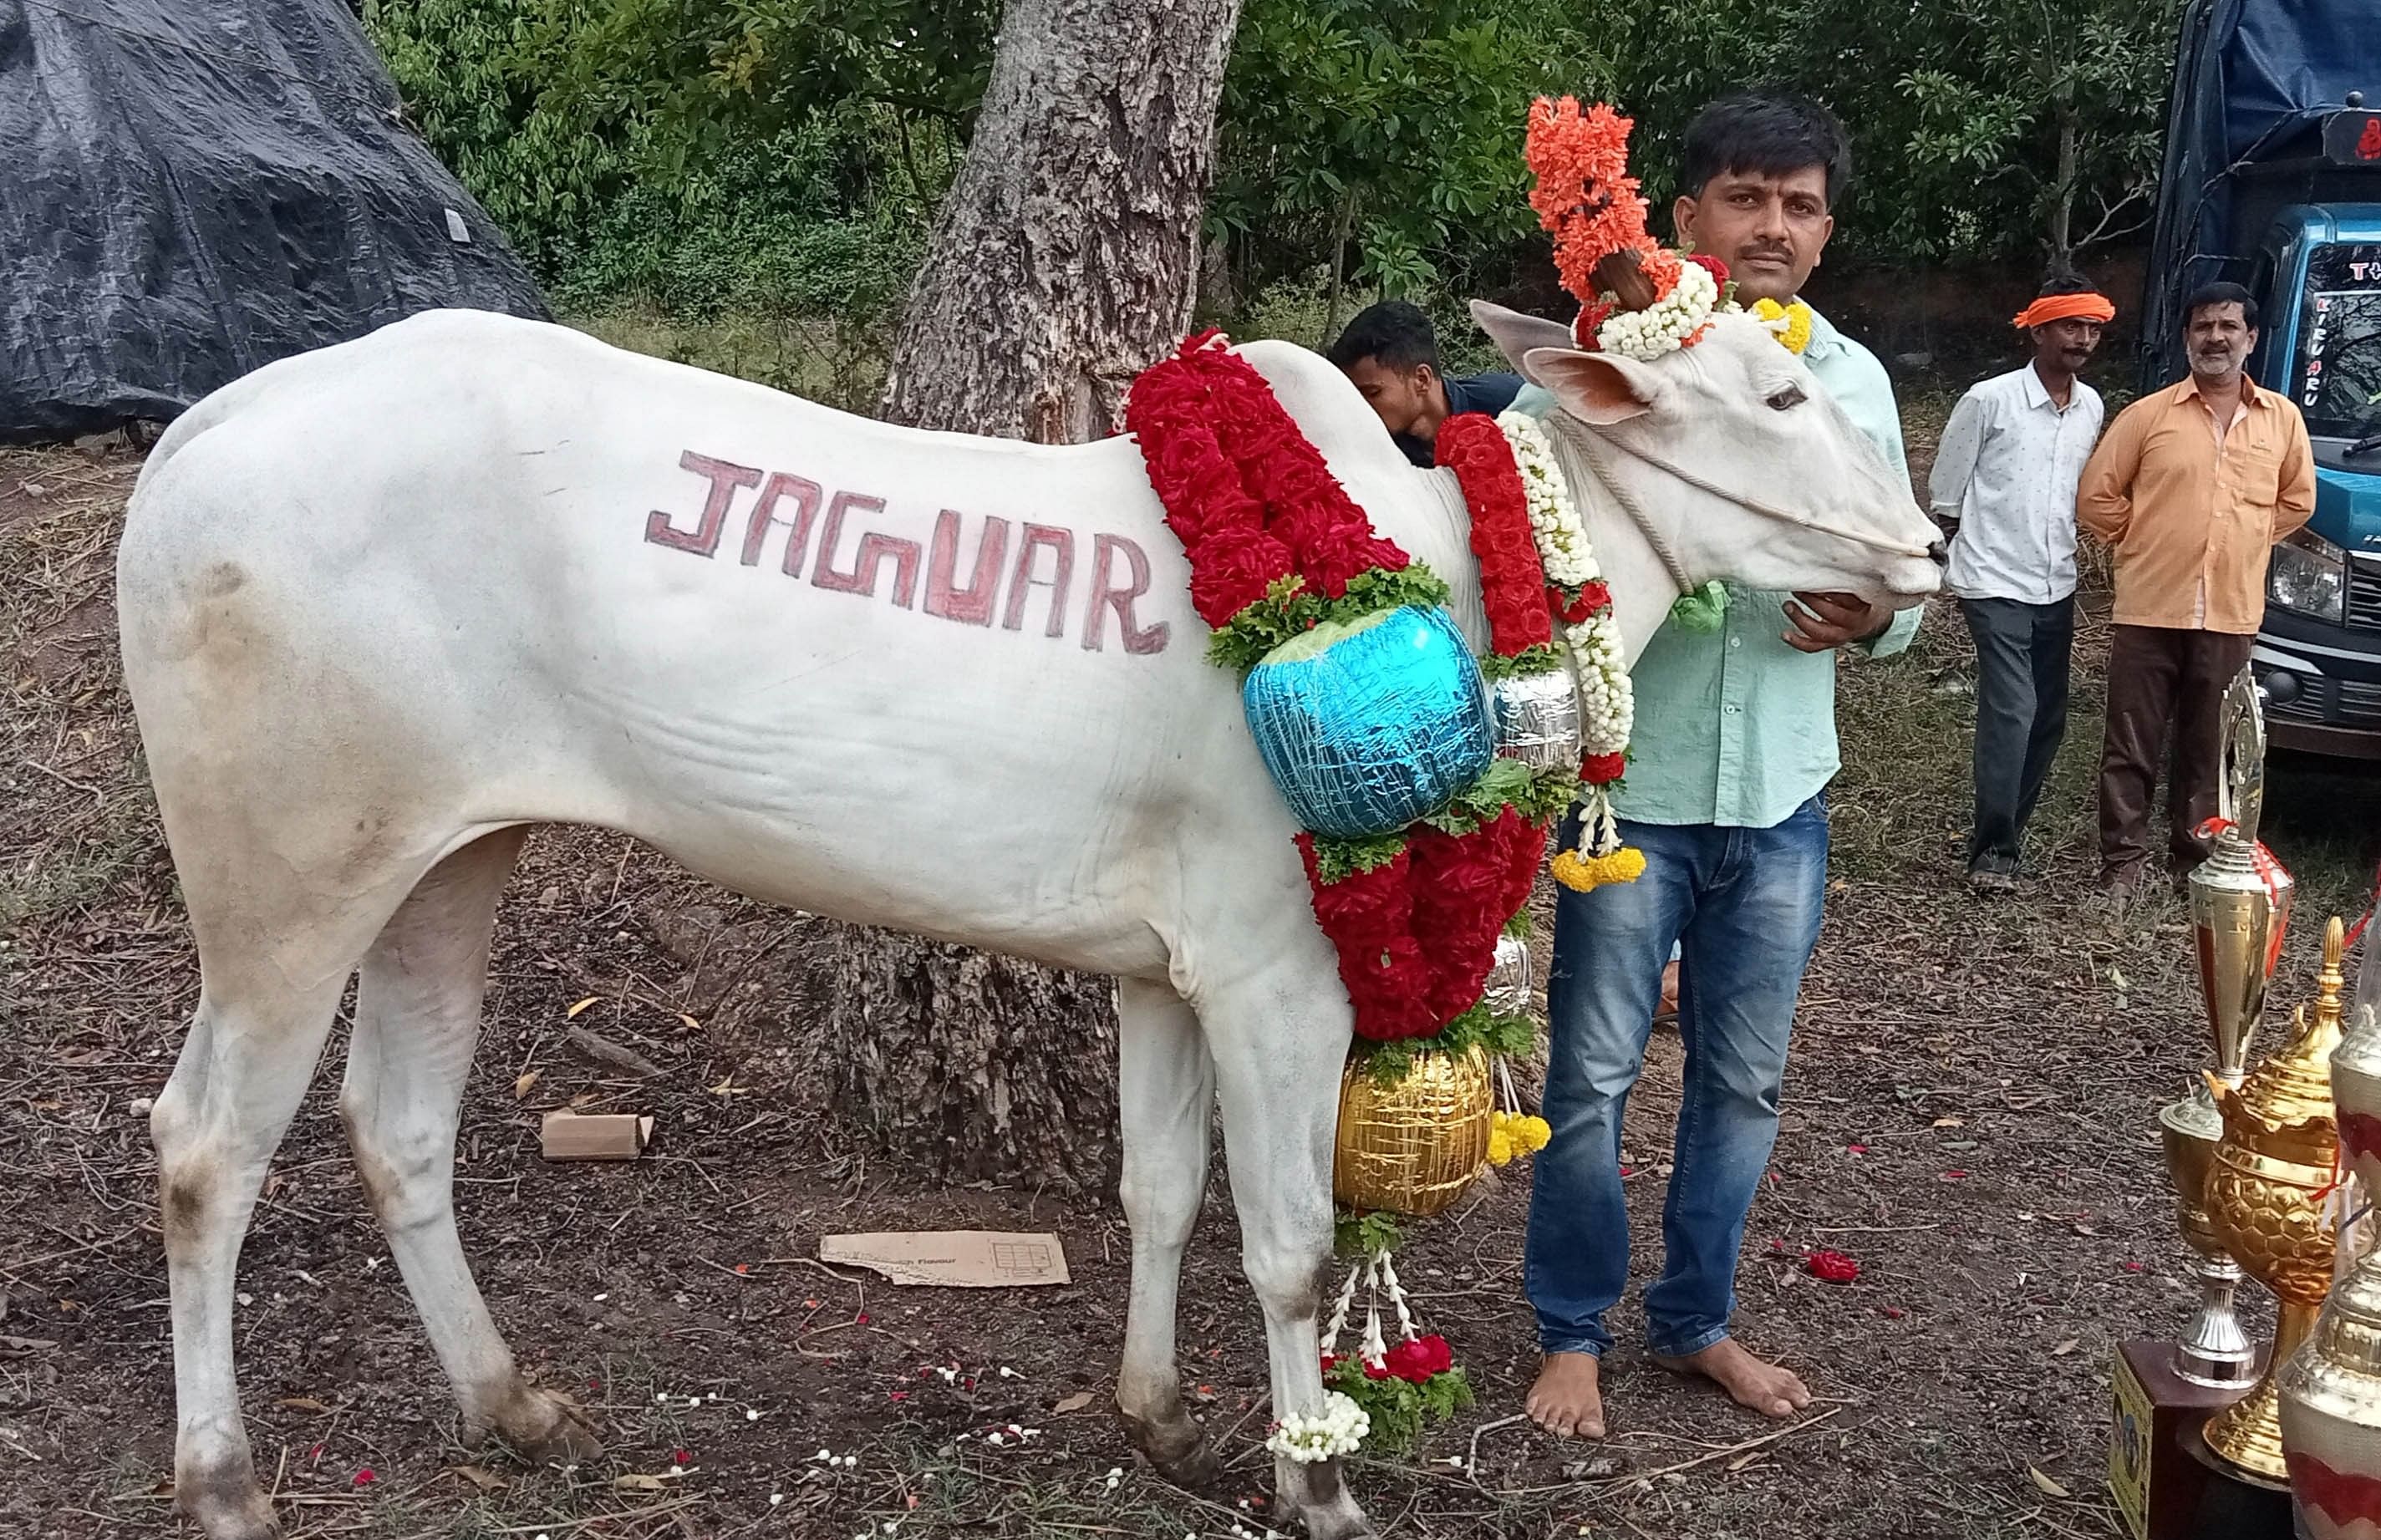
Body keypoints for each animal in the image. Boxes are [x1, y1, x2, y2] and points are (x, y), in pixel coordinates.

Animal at [120, 295, 1942, 1532]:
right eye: (1781, 390)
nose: (1922, 545)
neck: (1454, 566)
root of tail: (201, 435)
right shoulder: (1275, 975)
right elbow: (1284, 1246)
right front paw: (1314, 1478)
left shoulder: (1163, 971)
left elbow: (1155, 1191)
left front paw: (1155, 1416)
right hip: (287, 876)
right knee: (205, 1144)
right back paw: (221, 1474)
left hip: (450, 852)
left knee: (397, 1124)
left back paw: (509, 1402)